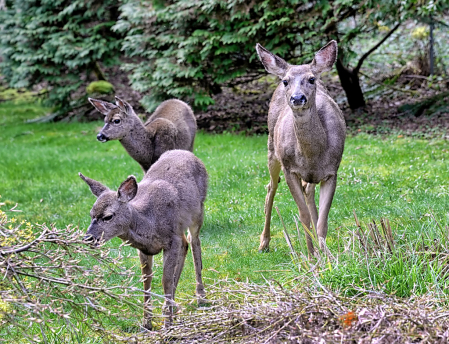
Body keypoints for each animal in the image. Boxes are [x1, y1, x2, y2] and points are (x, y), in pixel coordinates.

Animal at [79, 150, 208, 328]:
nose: (88, 237)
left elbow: (165, 280)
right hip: (180, 226)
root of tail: (186, 152)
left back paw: (200, 296)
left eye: (108, 216)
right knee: (185, 243)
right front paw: (147, 322)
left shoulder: (171, 240)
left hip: (198, 212)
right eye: (91, 214)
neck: (150, 223)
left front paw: (168, 323)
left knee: (194, 243)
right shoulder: (145, 249)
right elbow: (147, 280)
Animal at [254, 40, 344, 255]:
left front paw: (326, 255)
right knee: (271, 187)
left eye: (311, 79)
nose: (297, 98)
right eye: (286, 82)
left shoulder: (332, 171)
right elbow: (303, 216)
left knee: (308, 190)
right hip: (272, 148)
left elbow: (322, 221)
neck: (312, 155)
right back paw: (264, 242)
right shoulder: (290, 169)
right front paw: (311, 257)